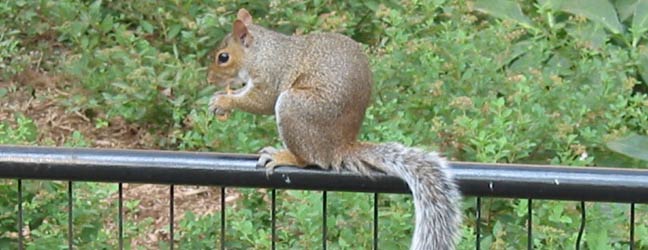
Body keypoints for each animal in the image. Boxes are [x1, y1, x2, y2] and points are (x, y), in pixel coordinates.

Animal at [208, 8, 460, 249]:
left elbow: (262, 102)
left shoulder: (270, 75)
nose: (210, 80)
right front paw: (218, 99)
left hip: (293, 109)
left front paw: (224, 101)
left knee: (307, 159)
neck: (260, 51)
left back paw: (283, 156)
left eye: (223, 57)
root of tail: (340, 146)